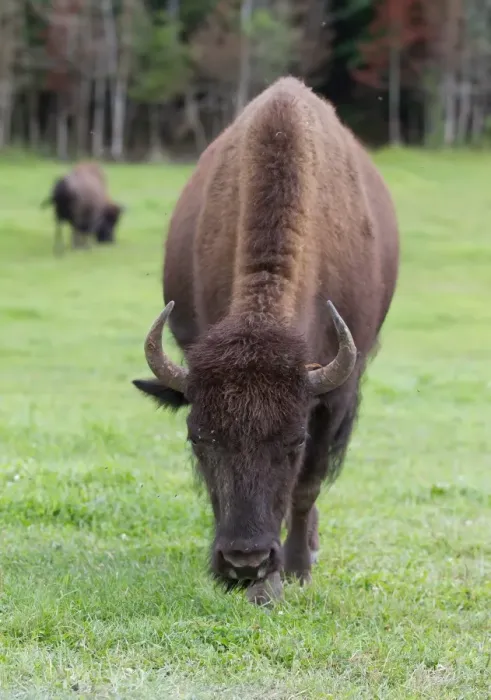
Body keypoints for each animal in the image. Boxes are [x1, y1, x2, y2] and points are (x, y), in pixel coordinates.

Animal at [133, 77, 400, 605]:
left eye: (293, 440)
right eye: (198, 438)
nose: (244, 561)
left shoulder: (332, 397)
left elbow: (306, 486)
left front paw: (291, 572)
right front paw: (263, 583)